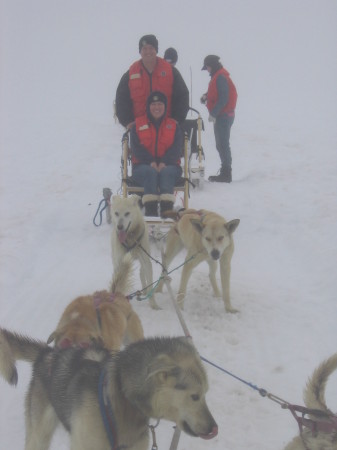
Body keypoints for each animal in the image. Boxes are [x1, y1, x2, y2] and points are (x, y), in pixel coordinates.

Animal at [0, 330, 218, 450]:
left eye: (206, 393)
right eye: (194, 396)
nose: (214, 428)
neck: (120, 399)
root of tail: (48, 353)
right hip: (40, 435)